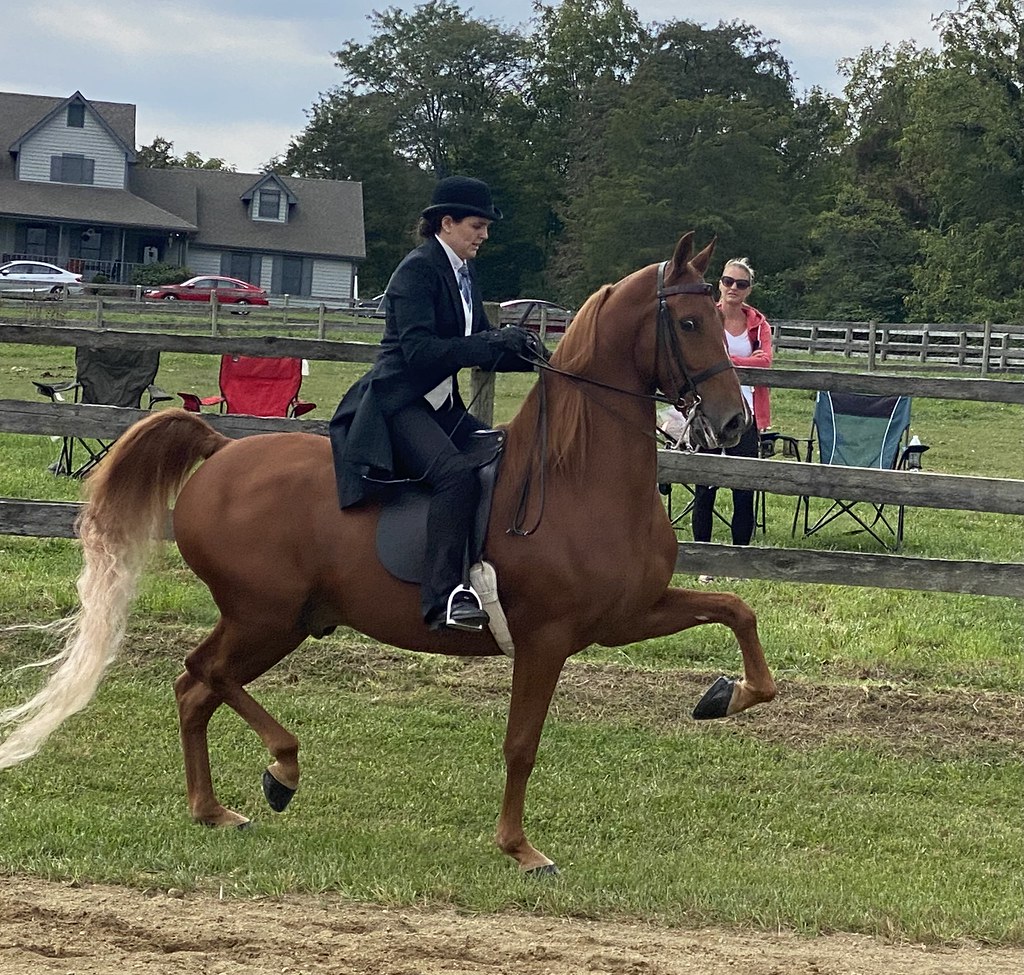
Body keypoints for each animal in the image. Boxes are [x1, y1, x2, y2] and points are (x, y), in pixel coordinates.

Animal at [0, 231, 775, 874]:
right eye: (688, 323)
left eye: (721, 318)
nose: (734, 422)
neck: (577, 472)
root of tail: (220, 451)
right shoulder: (547, 637)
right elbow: (521, 743)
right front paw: (520, 849)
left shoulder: (626, 614)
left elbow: (736, 611)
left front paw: (723, 696)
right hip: (265, 616)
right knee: (205, 677)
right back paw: (281, 771)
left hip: (280, 620)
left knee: (196, 687)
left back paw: (215, 809)